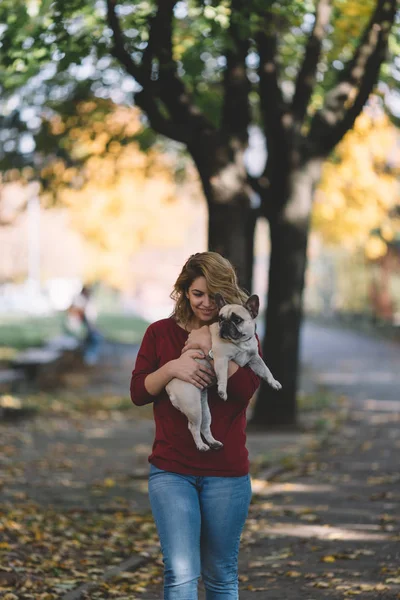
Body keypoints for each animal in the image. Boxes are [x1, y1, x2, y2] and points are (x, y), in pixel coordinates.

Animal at [166, 292, 282, 452]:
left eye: (237, 320)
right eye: (220, 319)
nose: (224, 324)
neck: (241, 343)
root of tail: (169, 387)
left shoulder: (255, 359)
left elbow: (266, 370)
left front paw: (274, 382)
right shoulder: (221, 359)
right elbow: (223, 377)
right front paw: (222, 392)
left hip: (204, 409)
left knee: (204, 426)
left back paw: (213, 442)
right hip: (193, 406)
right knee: (193, 427)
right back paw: (201, 446)